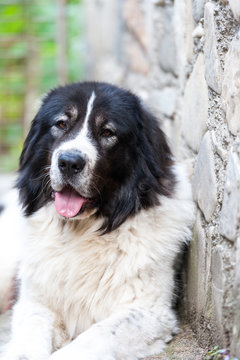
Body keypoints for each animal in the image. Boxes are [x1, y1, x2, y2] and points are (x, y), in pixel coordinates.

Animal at [0, 82, 195, 360]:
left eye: (107, 132)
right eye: (61, 124)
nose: (69, 162)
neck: (84, 231)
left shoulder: (148, 311)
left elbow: (94, 337)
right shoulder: (35, 302)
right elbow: (29, 338)